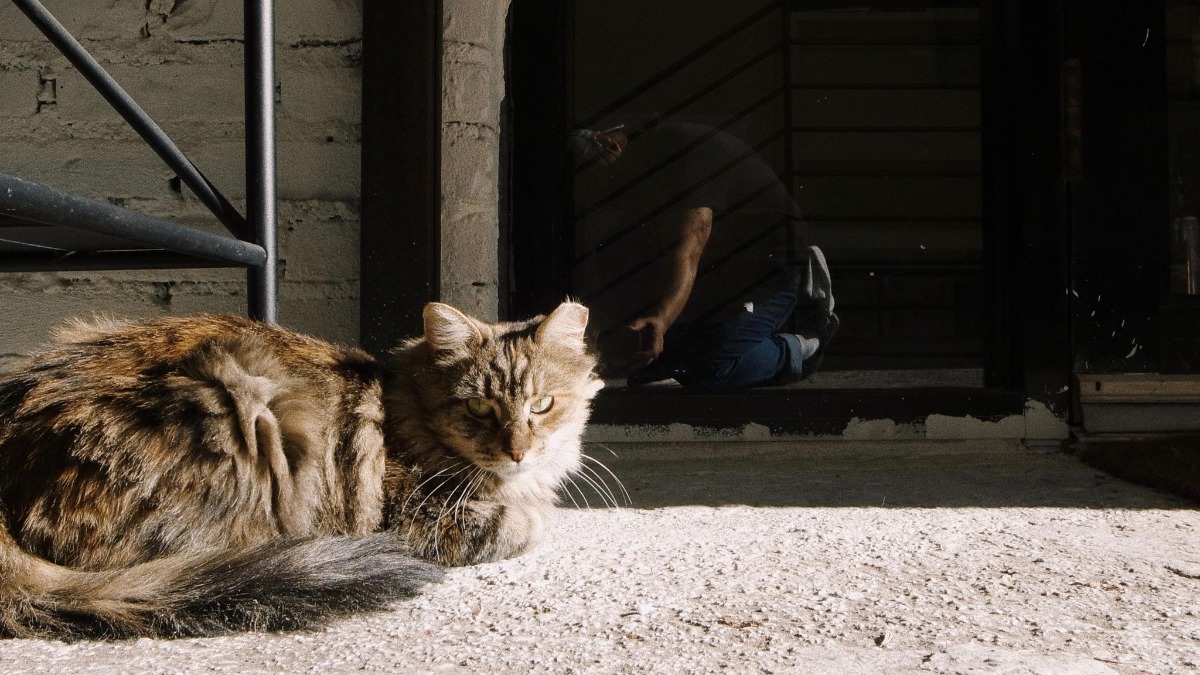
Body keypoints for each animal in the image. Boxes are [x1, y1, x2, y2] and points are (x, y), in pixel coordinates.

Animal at [0, 297, 600, 634]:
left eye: (542, 405)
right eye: (479, 408)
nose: (517, 451)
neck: (406, 410)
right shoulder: (423, 520)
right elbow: (526, 523)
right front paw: (536, 513)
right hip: (242, 415)